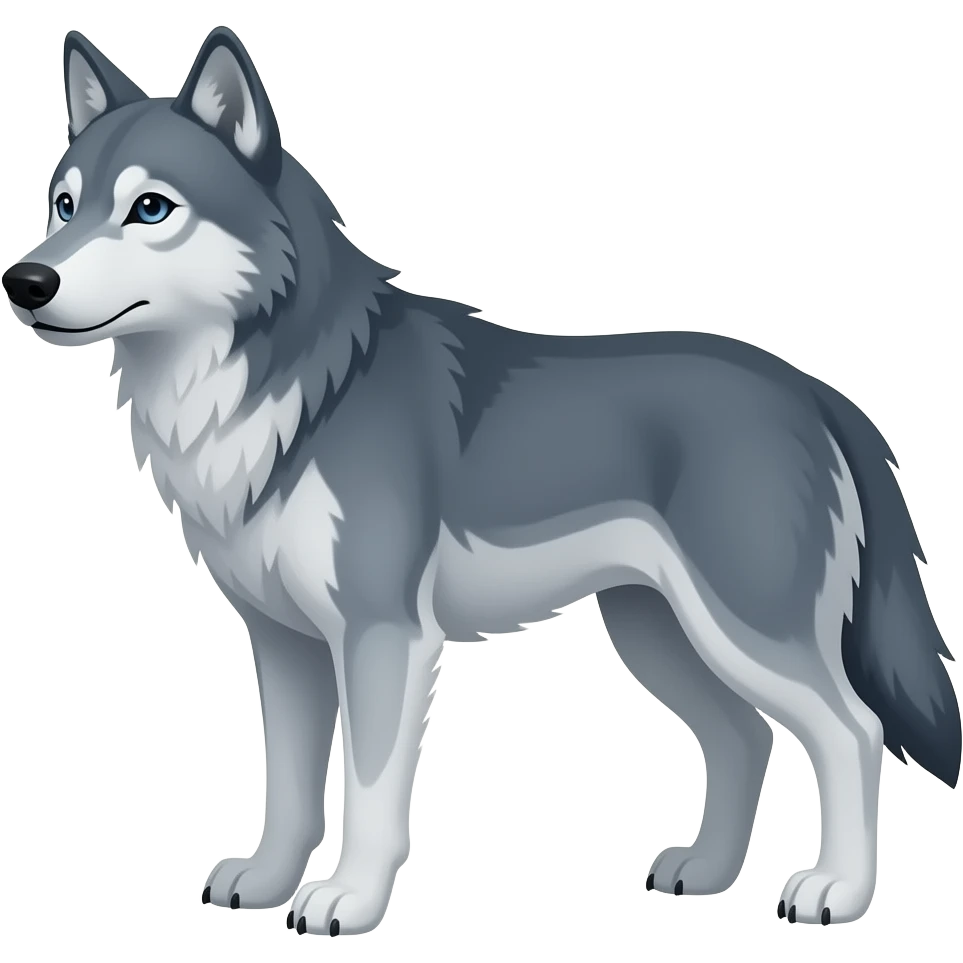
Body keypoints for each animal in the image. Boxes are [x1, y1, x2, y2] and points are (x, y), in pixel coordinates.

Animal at [3, 25, 959, 936]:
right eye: (64, 204)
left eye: (149, 208)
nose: (25, 279)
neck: (293, 387)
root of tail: (814, 390)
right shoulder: (283, 644)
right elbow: (289, 787)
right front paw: (269, 882)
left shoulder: (382, 635)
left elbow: (369, 792)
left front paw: (346, 900)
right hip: (657, 632)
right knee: (743, 737)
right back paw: (706, 872)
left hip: (743, 630)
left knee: (852, 732)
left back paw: (835, 889)